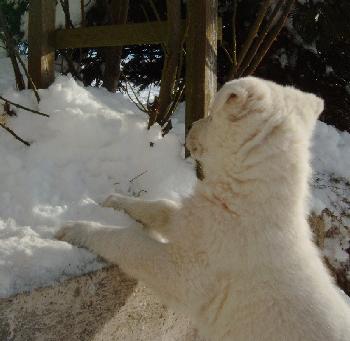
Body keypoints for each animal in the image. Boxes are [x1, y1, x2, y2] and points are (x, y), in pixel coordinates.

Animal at [56, 77, 350, 340]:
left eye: (211, 116)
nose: (191, 126)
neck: (242, 201)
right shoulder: (189, 220)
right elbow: (160, 207)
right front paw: (115, 201)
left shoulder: (186, 273)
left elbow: (128, 241)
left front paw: (77, 229)